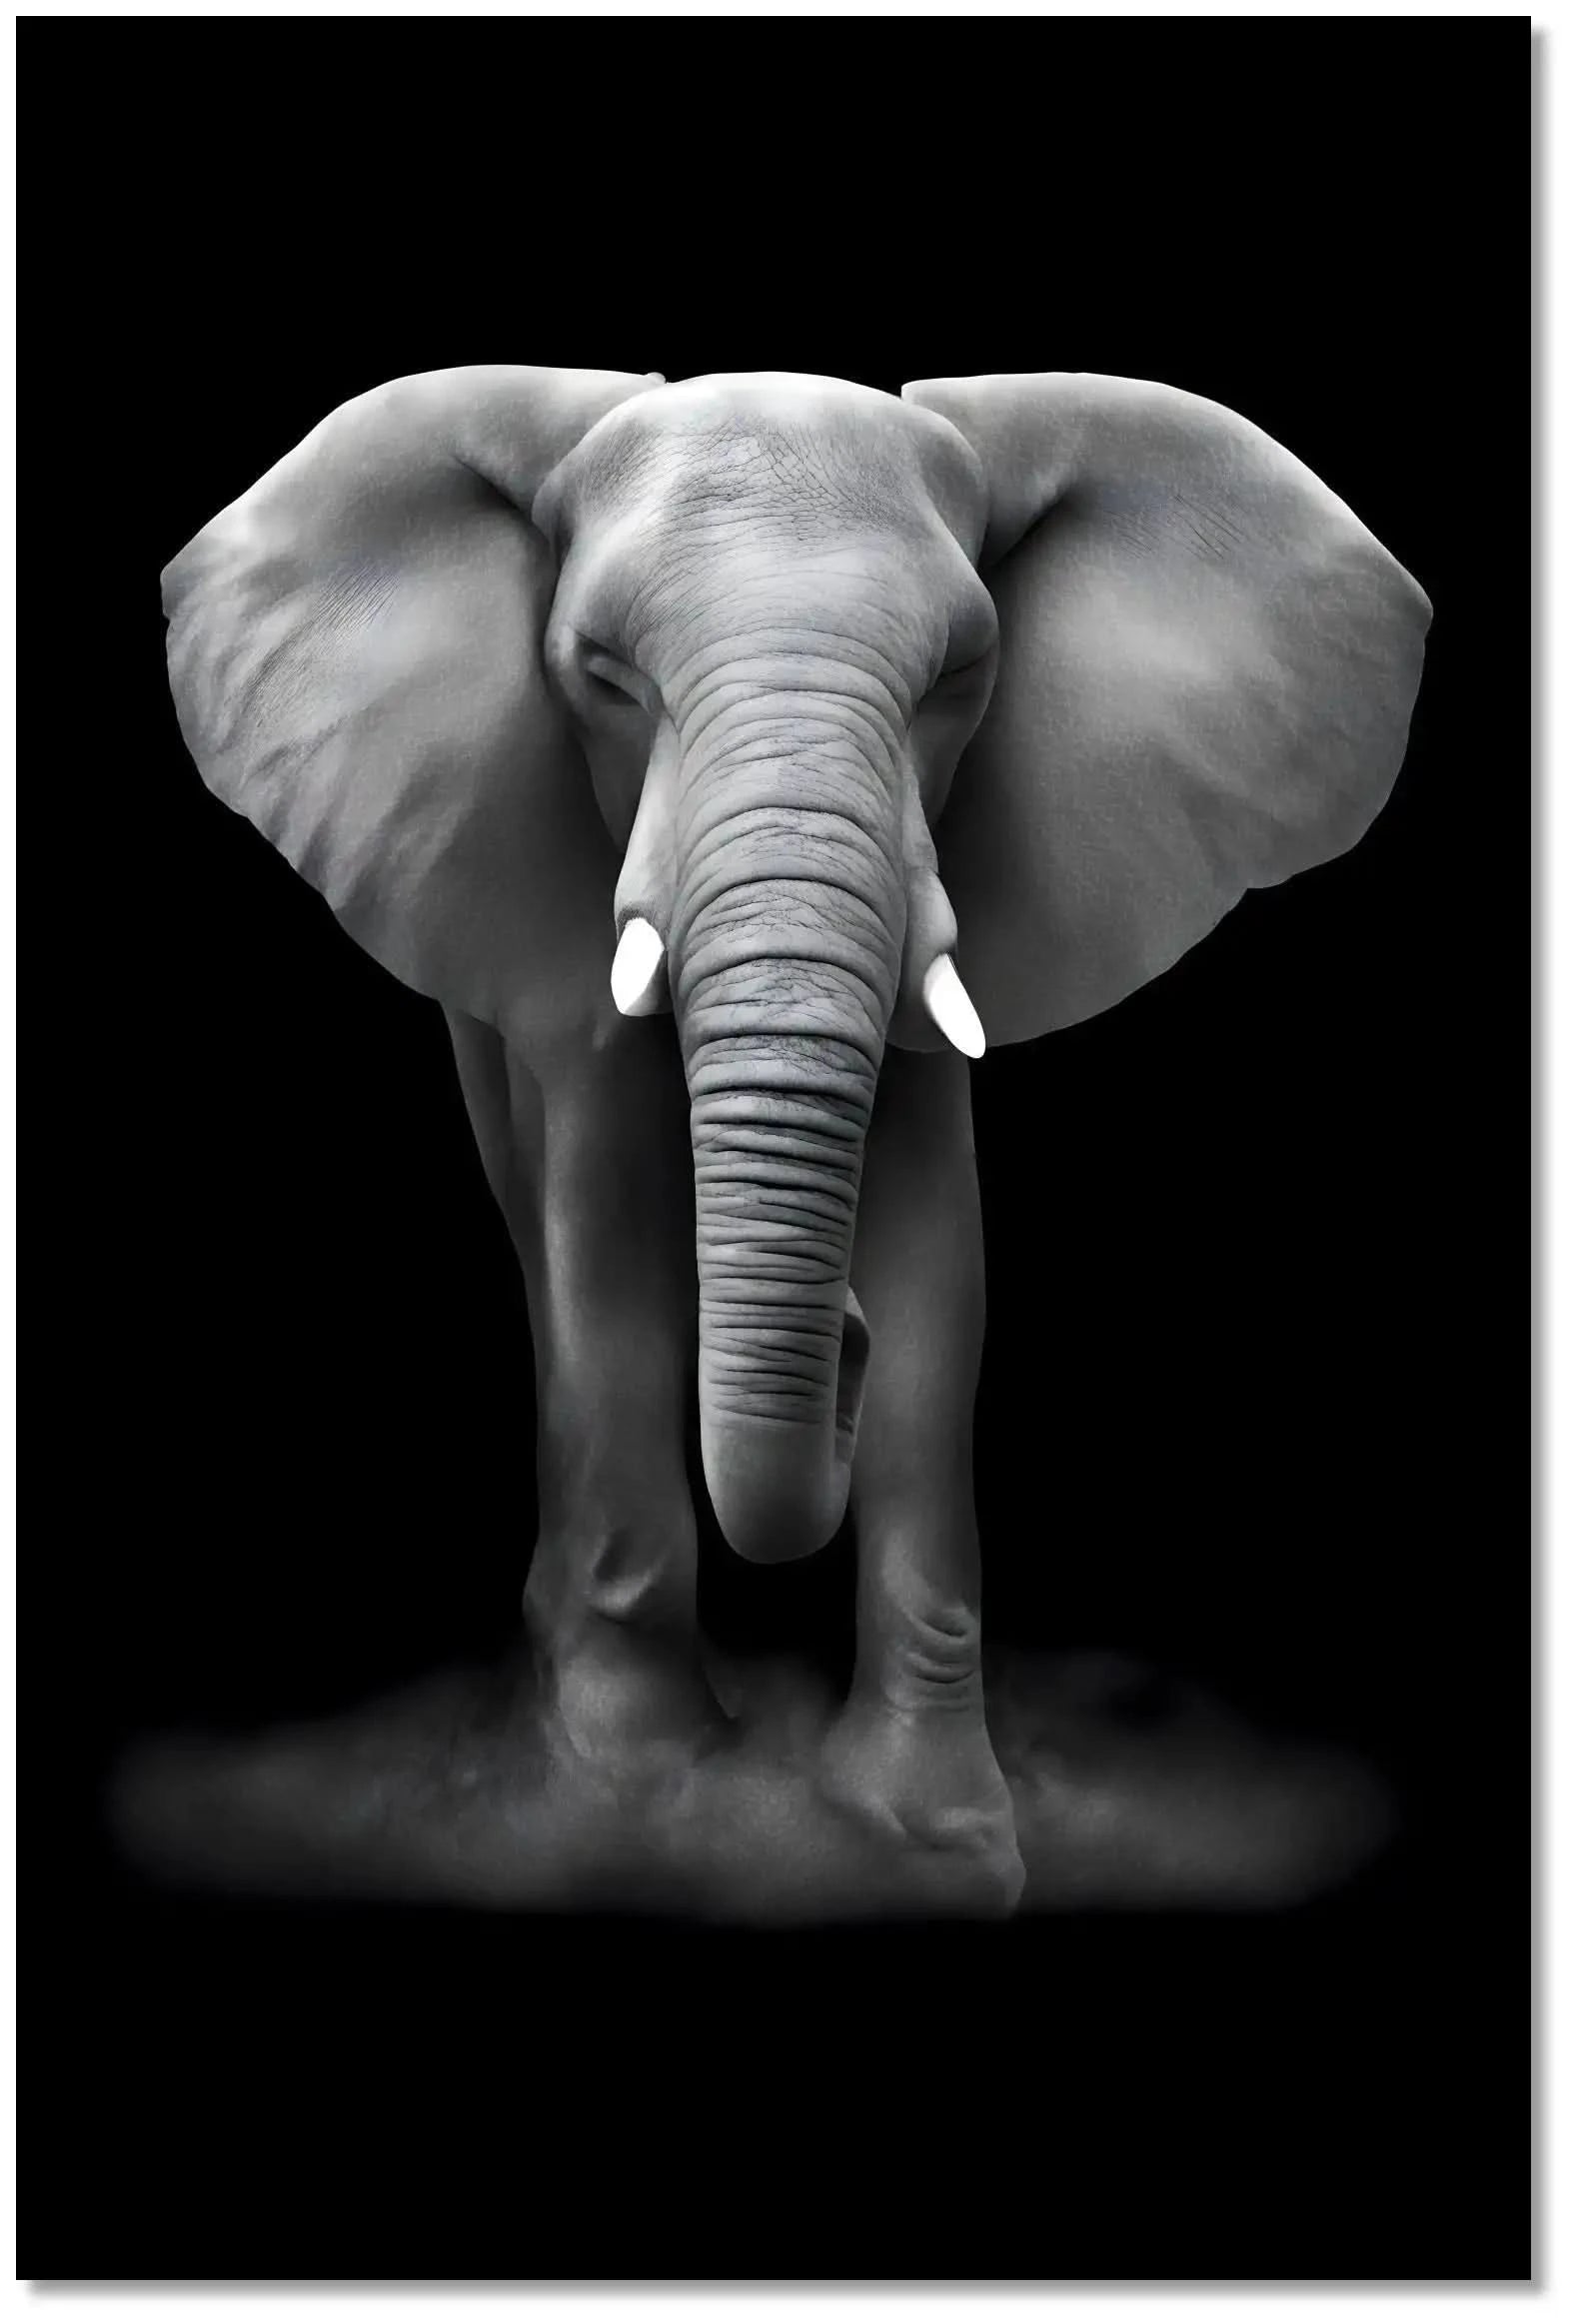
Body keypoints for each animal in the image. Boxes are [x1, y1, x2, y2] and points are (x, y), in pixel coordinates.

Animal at [156, 366, 1430, 1920]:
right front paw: (631, 1802)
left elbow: (944, 1263)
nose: (843, 1341)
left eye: (960, 675)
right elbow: (609, 1223)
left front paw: (933, 1840)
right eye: (601, 673)